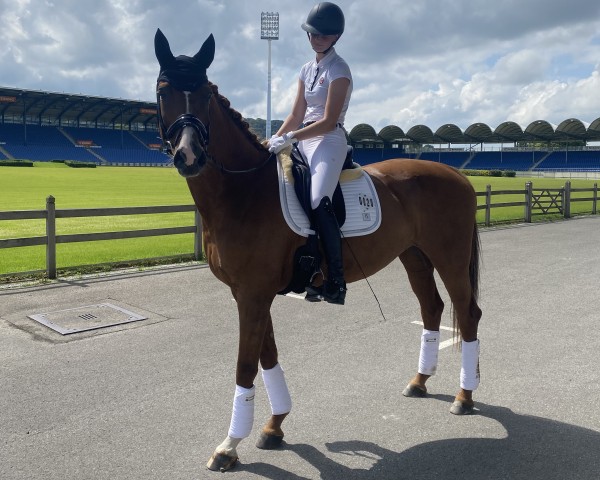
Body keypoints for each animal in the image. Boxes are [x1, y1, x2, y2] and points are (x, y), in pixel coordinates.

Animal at [154, 30, 482, 472]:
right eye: (163, 91)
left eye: (205, 94)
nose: (189, 156)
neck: (244, 192)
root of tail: (458, 175)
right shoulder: (249, 293)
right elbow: (267, 356)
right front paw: (274, 426)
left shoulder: (253, 295)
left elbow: (245, 365)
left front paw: (229, 446)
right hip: (414, 256)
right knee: (431, 308)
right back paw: (419, 382)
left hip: (449, 257)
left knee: (467, 313)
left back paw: (465, 397)